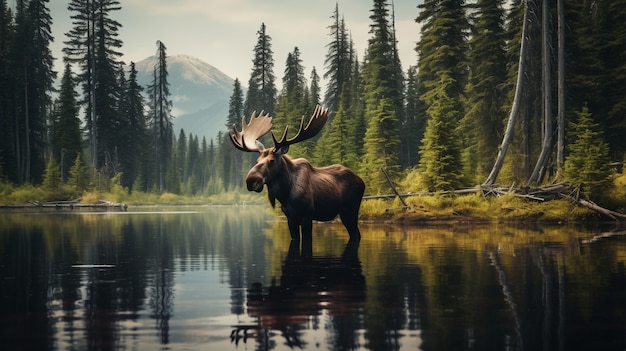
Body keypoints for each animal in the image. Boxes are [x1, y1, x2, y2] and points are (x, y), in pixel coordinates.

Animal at [229, 106, 364, 243]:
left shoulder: (307, 216)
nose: (250, 180)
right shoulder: (290, 218)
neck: (285, 193)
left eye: (272, 160)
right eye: (257, 160)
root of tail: (361, 181)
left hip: (350, 211)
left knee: (356, 234)